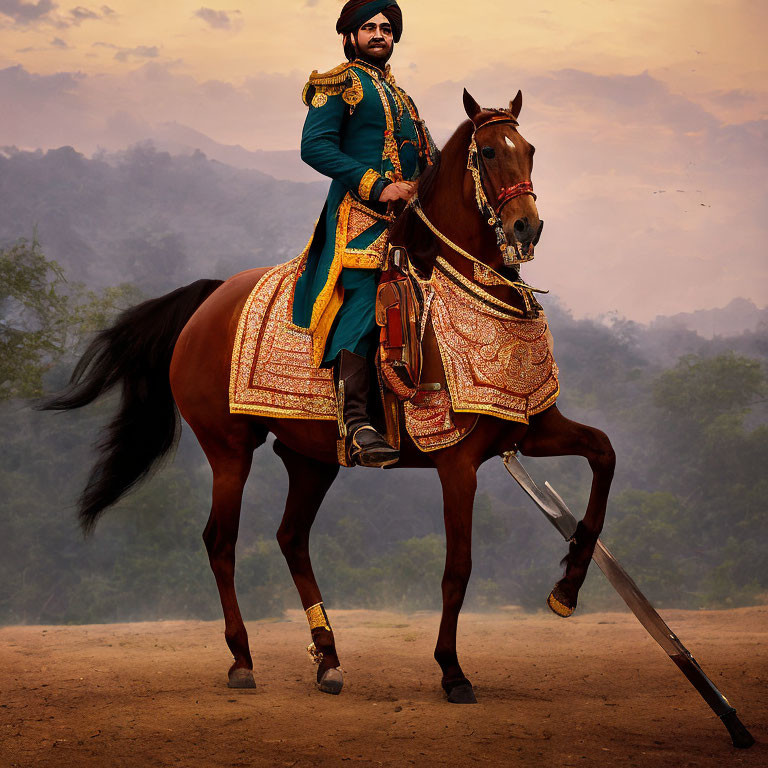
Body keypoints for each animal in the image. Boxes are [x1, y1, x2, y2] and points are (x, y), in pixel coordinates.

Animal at [43, 90, 616, 704]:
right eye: (487, 152)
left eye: (529, 149)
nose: (527, 226)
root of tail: (209, 298)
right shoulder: (457, 460)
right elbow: (457, 568)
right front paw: (452, 670)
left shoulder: (530, 430)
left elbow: (603, 456)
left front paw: (567, 588)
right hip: (229, 449)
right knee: (221, 541)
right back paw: (242, 659)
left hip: (311, 457)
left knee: (292, 538)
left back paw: (329, 659)